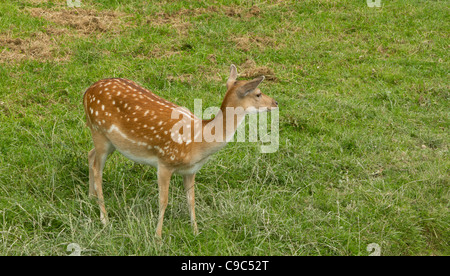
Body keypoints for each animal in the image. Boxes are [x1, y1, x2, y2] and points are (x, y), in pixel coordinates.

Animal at [82, 64, 276, 237]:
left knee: (90, 154)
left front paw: (195, 231)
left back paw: (91, 197)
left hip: (109, 141)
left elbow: (191, 200)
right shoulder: (164, 162)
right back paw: (104, 219)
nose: (275, 102)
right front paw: (158, 237)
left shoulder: (191, 170)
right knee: (98, 169)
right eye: (258, 93)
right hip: (99, 131)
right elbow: (163, 201)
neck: (198, 143)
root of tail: (87, 91)